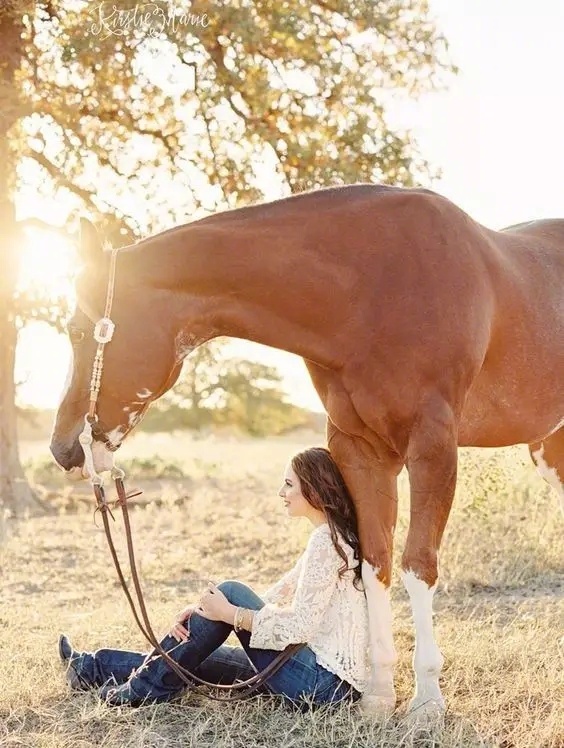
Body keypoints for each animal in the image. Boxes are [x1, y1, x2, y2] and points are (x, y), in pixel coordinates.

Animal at [50, 183, 560, 720]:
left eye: (78, 331)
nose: (64, 449)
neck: (374, 287)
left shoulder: (433, 447)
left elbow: (418, 566)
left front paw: (426, 703)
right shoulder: (359, 450)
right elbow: (373, 563)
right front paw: (378, 695)